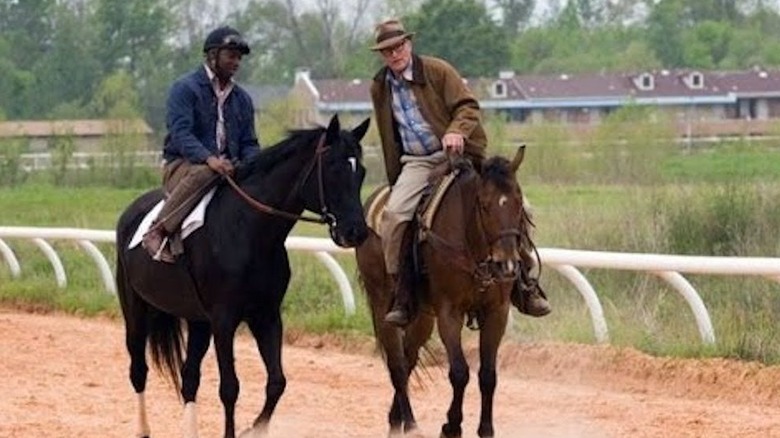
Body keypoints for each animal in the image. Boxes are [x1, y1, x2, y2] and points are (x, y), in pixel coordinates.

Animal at [116, 115, 372, 438]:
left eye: (361, 171)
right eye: (333, 168)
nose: (356, 232)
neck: (250, 231)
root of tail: (130, 213)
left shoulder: (267, 315)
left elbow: (277, 382)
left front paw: (255, 428)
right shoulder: (224, 319)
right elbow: (229, 388)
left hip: (198, 320)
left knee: (189, 377)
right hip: (136, 309)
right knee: (138, 369)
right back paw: (142, 429)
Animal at [354, 145, 532, 436]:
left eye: (518, 203)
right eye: (484, 205)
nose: (507, 265)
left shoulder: (497, 312)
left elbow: (488, 375)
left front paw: (485, 429)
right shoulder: (449, 313)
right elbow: (459, 372)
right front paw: (452, 425)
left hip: (423, 315)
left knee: (409, 357)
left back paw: (397, 419)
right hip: (382, 303)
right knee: (397, 364)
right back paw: (408, 424)